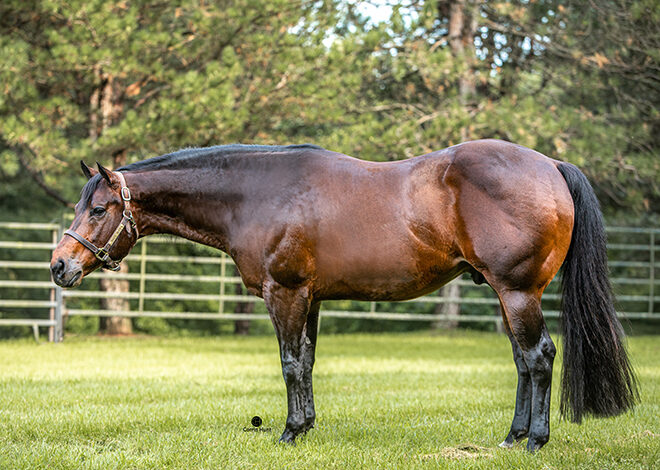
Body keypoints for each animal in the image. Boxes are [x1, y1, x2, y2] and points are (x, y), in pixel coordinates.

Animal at [51, 140, 640, 452]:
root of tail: (550, 166)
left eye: (98, 209)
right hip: (506, 295)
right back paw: (513, 436)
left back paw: (535, 440)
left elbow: (290, 364)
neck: (254, 193)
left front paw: (289, 433)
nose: (60, 266)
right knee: (522, 360)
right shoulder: (309, 298)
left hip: (518, 293)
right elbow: (307, 363)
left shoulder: (284, 294)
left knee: (539, 357)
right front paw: (306, 426)